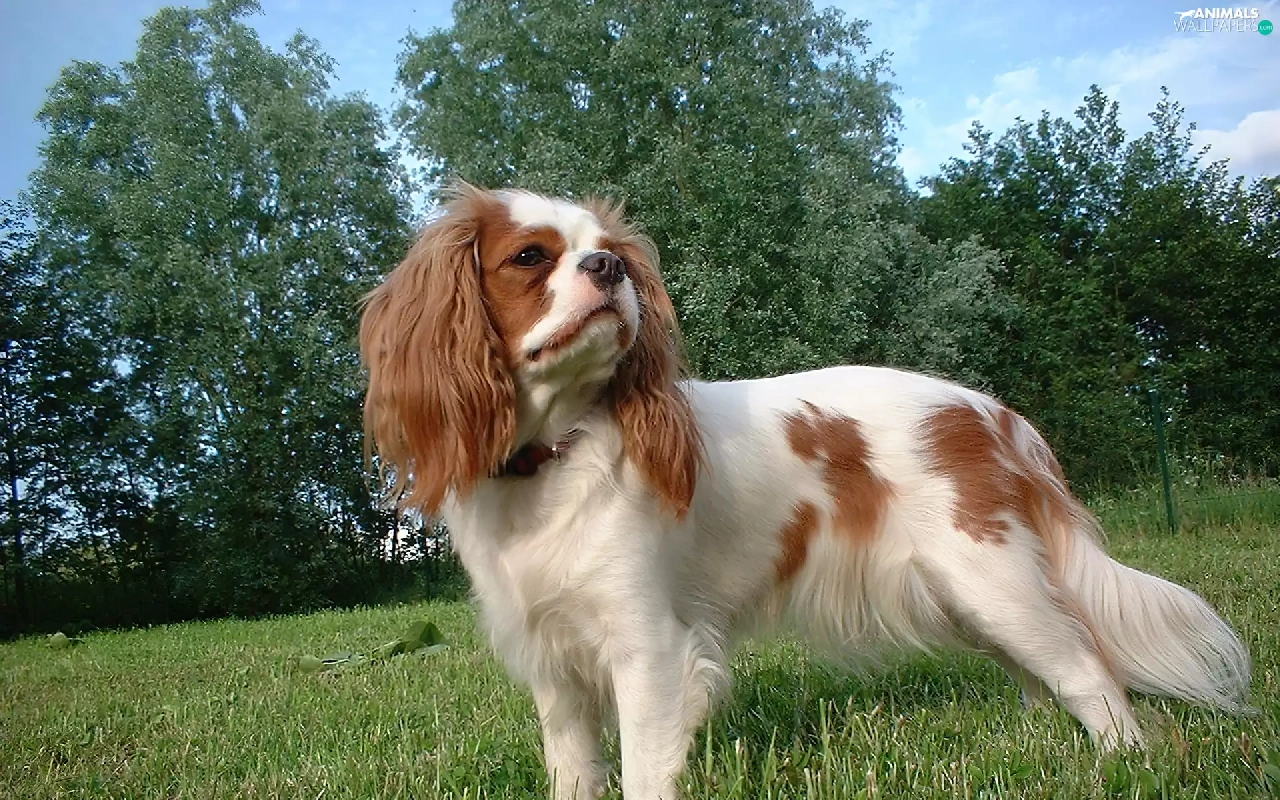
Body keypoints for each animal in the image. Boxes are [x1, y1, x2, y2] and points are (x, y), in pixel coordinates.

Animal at [359, 185, 1250, 799]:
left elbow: (646, 769)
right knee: (1045, 672)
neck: (551, 456)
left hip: (991, 577)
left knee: (1090, 672)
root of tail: (993, 413)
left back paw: (1126, 763)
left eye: (610, 251)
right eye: (529, 258)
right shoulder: (554, 666)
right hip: (974, 597)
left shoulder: (648, 650)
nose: (608, 269)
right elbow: (575, 770)